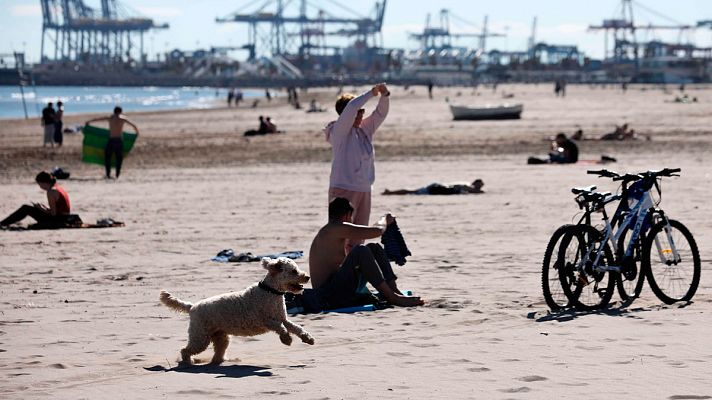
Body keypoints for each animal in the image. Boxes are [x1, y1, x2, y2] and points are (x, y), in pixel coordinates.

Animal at [163, 256, 318, 366]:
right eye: (294, 271)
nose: (307, 277)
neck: (270, 291)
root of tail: (192, 306)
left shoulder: (283, 318)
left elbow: (296, 327)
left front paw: (308, 338)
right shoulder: (266, 320)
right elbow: (281, 328)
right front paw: (286, 339)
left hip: (220, 336)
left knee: (218, 352)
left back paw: (221, 361)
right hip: (200, 337)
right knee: (185, 350)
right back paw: (188, 362)